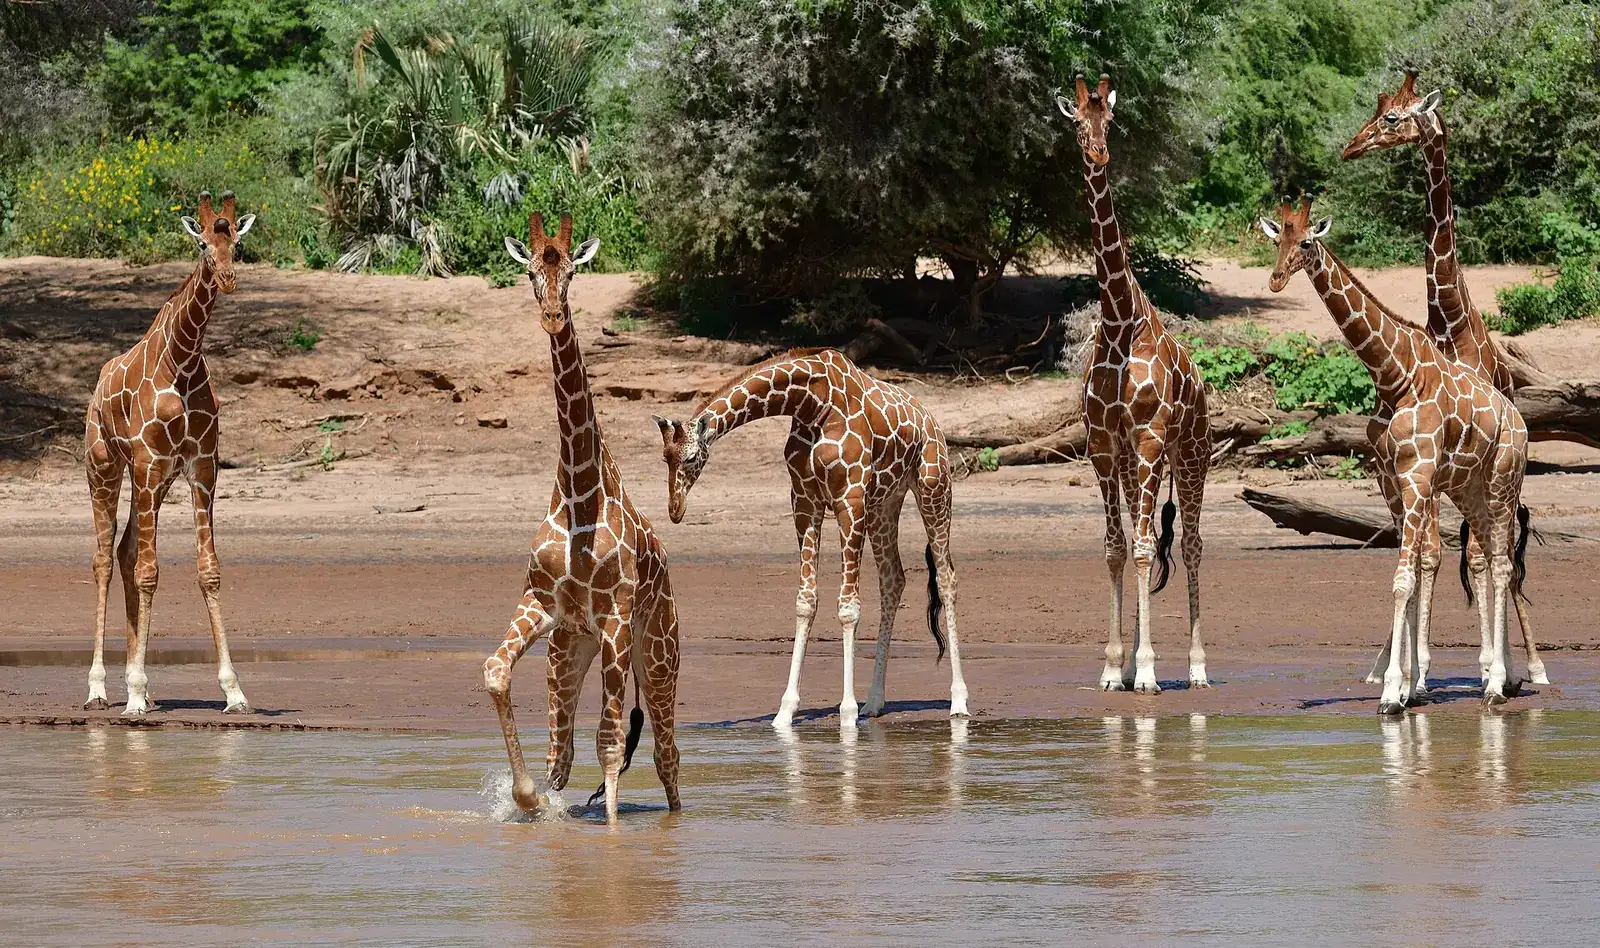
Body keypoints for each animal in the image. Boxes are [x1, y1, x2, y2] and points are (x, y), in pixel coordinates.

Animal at [82, 190, 255, 716]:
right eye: (201, 245)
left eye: (238, 245)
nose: (227, 278)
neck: (182, 358)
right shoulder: (149, 461)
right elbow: (150, 572)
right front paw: (134, 695)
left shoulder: (201, 466)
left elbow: (208, 572)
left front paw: (234, 691)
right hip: (105, 466)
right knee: (104, 558)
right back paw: (99, 689)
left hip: (152, 482)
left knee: (123, 552)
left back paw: (137, 685)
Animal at [481, 212, 681, 822]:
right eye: (529, 272)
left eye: (571, 272)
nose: (551, 315)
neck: (576, 497)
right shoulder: (544, 608)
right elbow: (497, 675)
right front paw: (529, 800)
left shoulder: (616, 618)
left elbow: (611, 743)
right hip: (571, 651)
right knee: (565, 749)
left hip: (654, 651)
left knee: (665, 753)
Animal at [653, 348, 966, 728]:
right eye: (664, 458)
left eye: (691, 457)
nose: (675, 509)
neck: (810, 403)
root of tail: (930, 419)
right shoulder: (804, 501)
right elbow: (806, 601)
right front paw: (785, 711)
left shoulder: (850, 498)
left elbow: (848, 607)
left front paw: (846, 713)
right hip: (885, 504)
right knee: (893, 579)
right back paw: (875, 701)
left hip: (933, 487)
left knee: (947, 579)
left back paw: (958, 701)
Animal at [1262, 196, 1529, 712]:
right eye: (1277, 239)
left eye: (1306, 242)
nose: (1277, 279)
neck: (1393, 374)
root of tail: (1519, 419)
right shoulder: (1391, 478)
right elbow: (1411, 571)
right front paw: (1406, 684)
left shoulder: (1419, 475)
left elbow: (1406, 576)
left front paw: (1392, 692)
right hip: (1469, 489)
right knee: (1487, 557)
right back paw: (1499, 677)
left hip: (1504, 482)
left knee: (1504, 563)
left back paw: (1497, 685)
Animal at [1343, 67, 1548, 687]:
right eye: (1376, 108)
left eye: (1393, 117)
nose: (1351, 147)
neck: (1450, 322)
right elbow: (1431, 551)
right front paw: (1406, 669)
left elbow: (1475, 557)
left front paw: (1490, 666)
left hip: (1498, 473)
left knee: (1499, 551)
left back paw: (1528, 666)